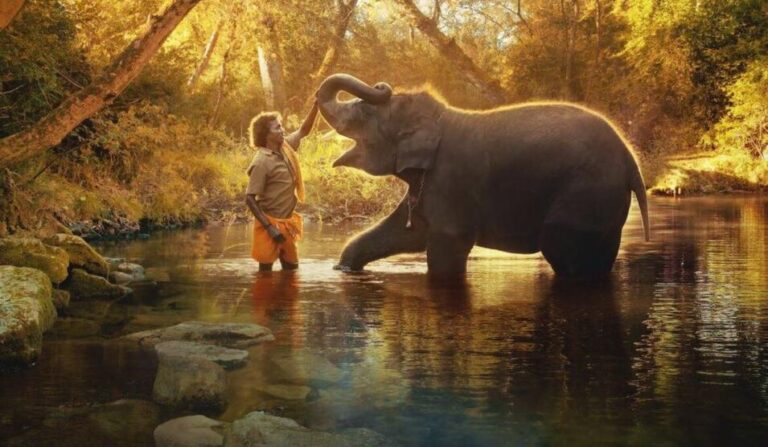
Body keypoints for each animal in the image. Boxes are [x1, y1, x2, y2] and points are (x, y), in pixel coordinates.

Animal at [315, 73, 650, 276]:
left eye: (364, 113)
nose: (382, 85)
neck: (440, 118)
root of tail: (631, 162)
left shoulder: (451, 179)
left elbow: (446, 246)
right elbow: (406, 232)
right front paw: (344, 268)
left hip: (586, 193)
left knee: (562, 249)